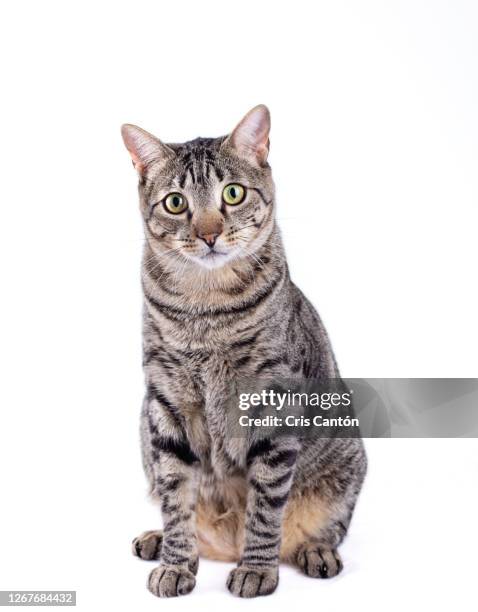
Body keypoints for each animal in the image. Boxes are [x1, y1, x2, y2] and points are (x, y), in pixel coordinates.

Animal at [122, 105, 366, 596]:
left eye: (232, 194)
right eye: (175, 202)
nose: (209, 233)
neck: (205, 309)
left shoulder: (273, 403)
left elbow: (266, 505)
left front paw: (256, 568)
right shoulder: (165, 403)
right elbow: (176, 497)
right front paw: (176, 563)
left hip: (347, 462)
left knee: (324, 527)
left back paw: (314, 550)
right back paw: (158, 540)